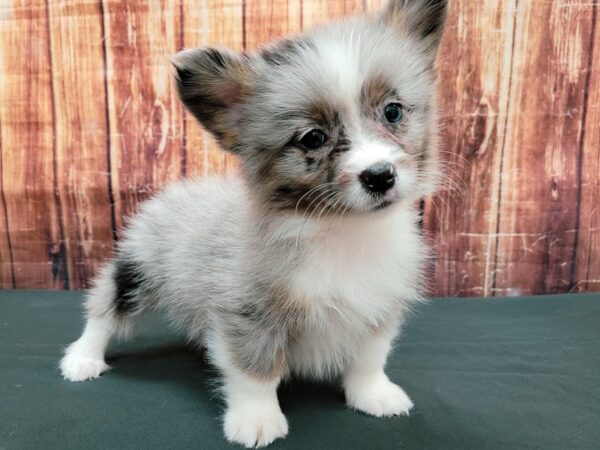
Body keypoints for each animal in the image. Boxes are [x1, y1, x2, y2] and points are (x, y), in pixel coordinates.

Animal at [61, 1, 448, 446]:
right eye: (313, 138)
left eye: (393, 111)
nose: (380, 175)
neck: (341, 231)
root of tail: (176, 190)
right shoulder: (248, 314)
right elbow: (255, 372)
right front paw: (257, 420)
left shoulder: (379, 306)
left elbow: (369, 358)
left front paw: (373, 395)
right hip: (137, 271)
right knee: (104, 310)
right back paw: (82, 358)